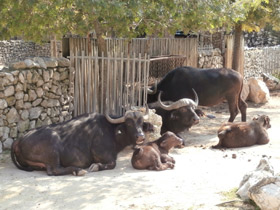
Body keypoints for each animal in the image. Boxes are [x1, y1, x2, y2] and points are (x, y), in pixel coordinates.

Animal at [10, 108, 152, 176]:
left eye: (141, 123)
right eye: (129, 123)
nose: (140, 136)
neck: (111, 131)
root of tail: (19, 139)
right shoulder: (103, 155)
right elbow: (112, 164)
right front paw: (95, 167)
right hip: (53, 146)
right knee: (54, 170)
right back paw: (78, 170)